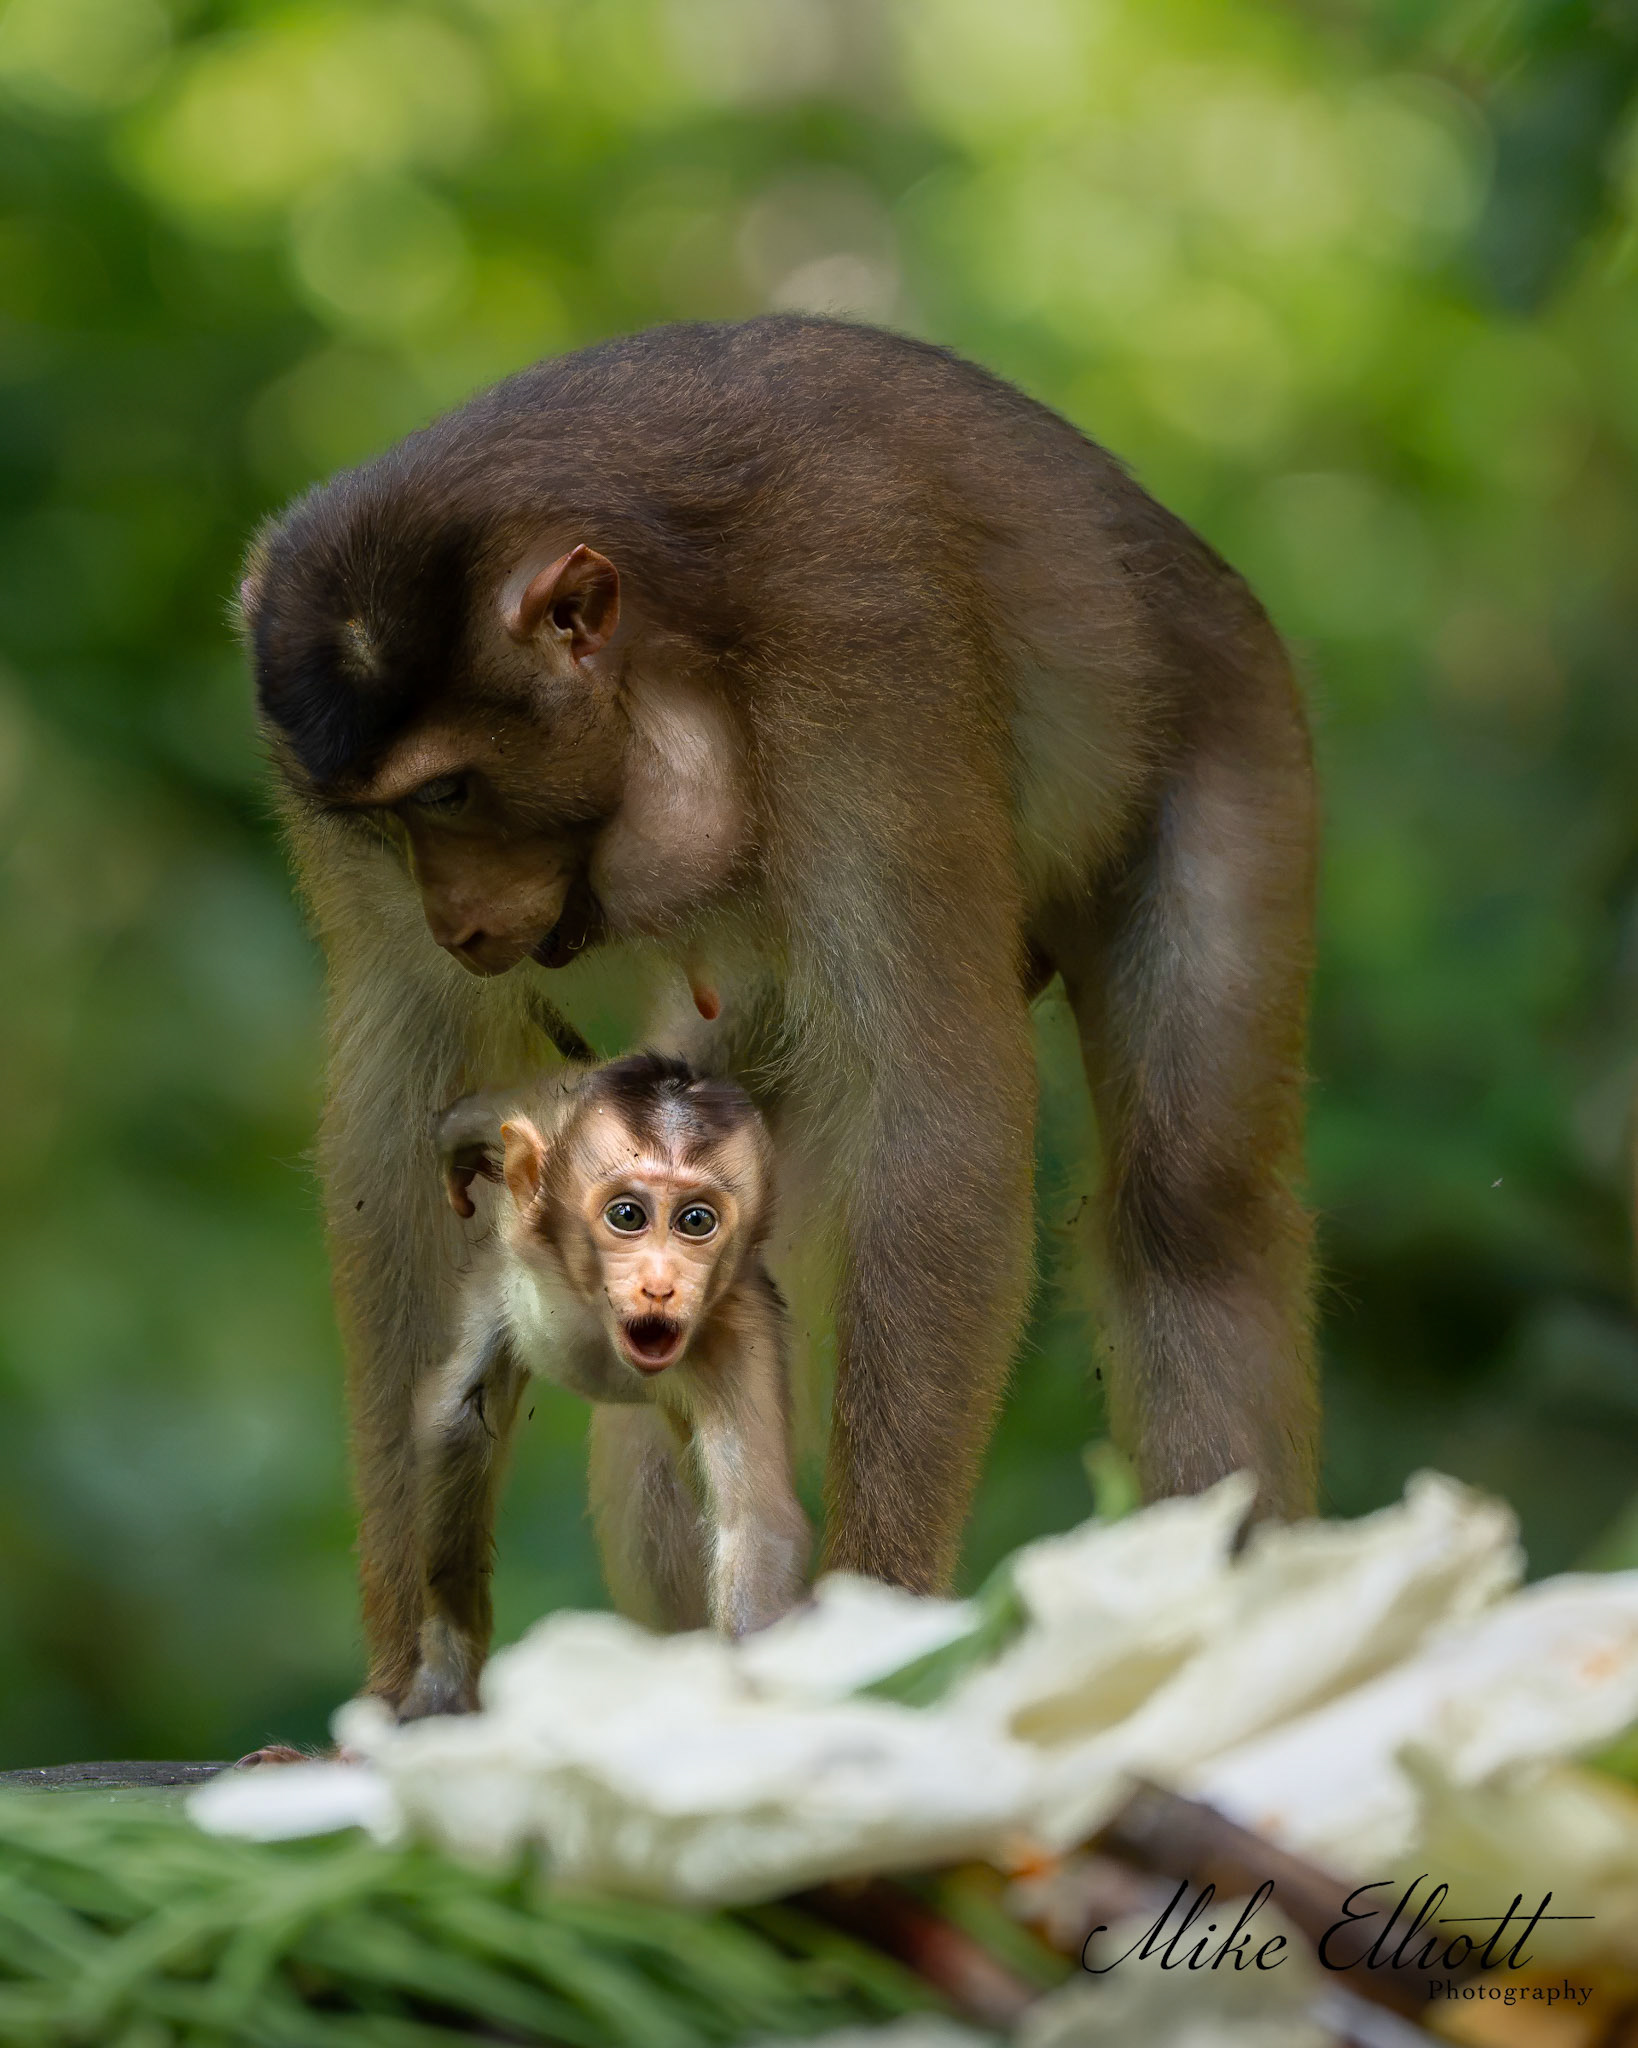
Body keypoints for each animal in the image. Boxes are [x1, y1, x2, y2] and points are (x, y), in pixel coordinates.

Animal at [399, 1052, 808, 1718]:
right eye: (627, 1216)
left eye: (696, 1221)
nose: (660, 1286)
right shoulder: (522, 1245)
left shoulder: (737, 1338)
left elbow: (754, 1525)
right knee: (459, 1413)